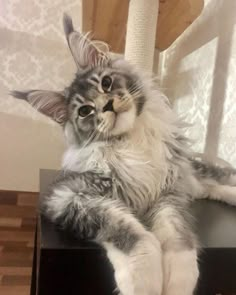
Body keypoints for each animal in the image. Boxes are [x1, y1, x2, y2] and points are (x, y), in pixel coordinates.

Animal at [11, 14, 236, 295]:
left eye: (105, 83)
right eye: (85, 111)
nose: (107, 105)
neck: (130, 142)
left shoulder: (167, 192)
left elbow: (176, 233)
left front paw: (179, 279)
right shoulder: (69, 196)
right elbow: (134, 234)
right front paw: (143, 281)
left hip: (187, 173)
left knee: (218, 179)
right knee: (207, 187)